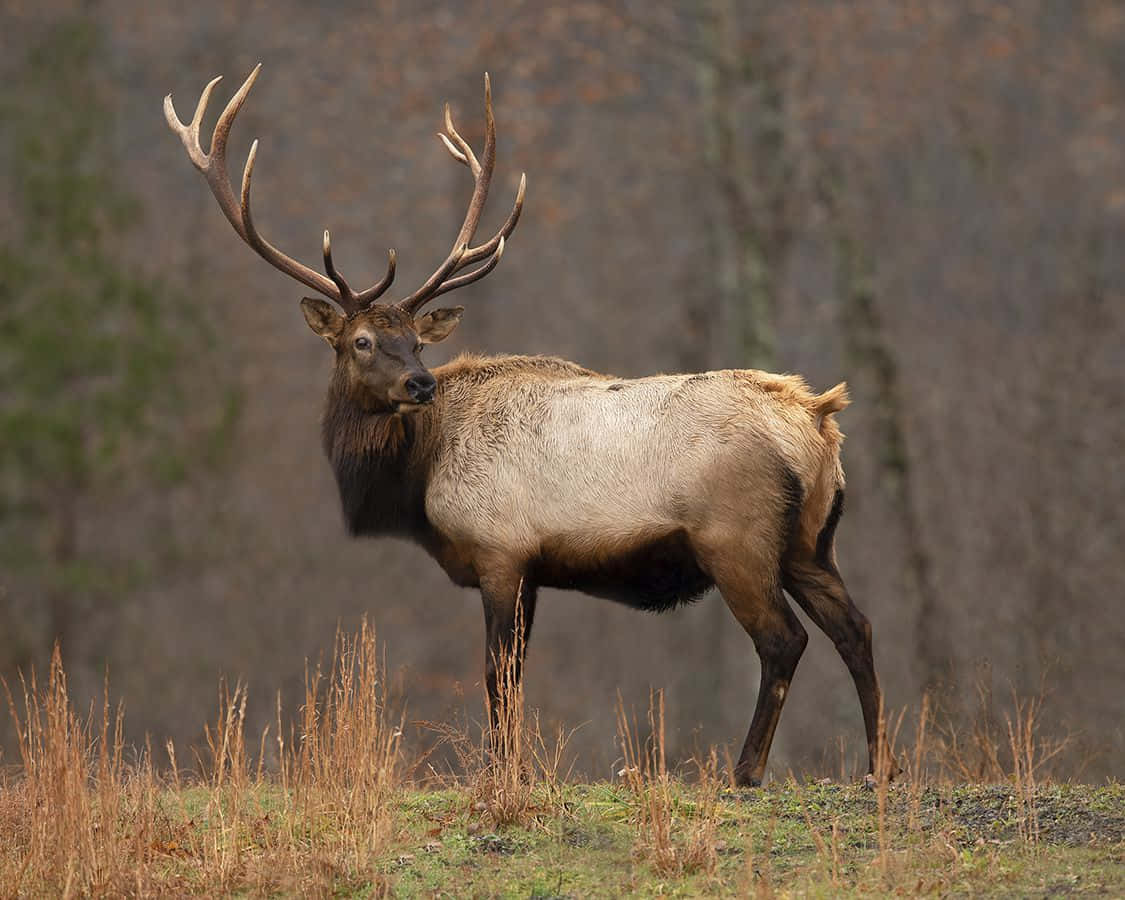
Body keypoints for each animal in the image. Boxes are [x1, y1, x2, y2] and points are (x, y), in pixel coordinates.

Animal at [164, 66, 890, 787]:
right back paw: (878, 767)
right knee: (856, 628)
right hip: (811, 541)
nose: (420, 384)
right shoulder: (533, 568)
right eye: (363, 342)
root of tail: (816, 420)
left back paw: (745, 770)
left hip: (736, 539)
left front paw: (499, 773)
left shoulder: (500, 551)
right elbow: (514, 674)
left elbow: (497, 676)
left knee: (784, 640)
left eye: (416, 343)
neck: (416, 479)